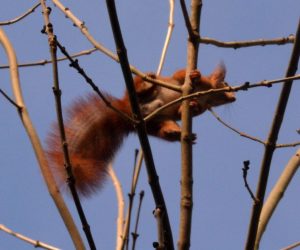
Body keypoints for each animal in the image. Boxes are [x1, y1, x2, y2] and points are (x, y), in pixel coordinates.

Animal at [46, 64, 234, 197]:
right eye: (225, 83)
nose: (234, 97)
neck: (207, 95)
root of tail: (128, 110)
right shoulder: (184, 82)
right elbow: (180, 75)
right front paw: (194, 75)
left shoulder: (203, 107)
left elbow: (191, 110)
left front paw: (191, 106)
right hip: (140, 97)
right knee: (139, 89)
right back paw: (146, 82)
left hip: (155, 122)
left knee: (163, 127)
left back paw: (174, 132)